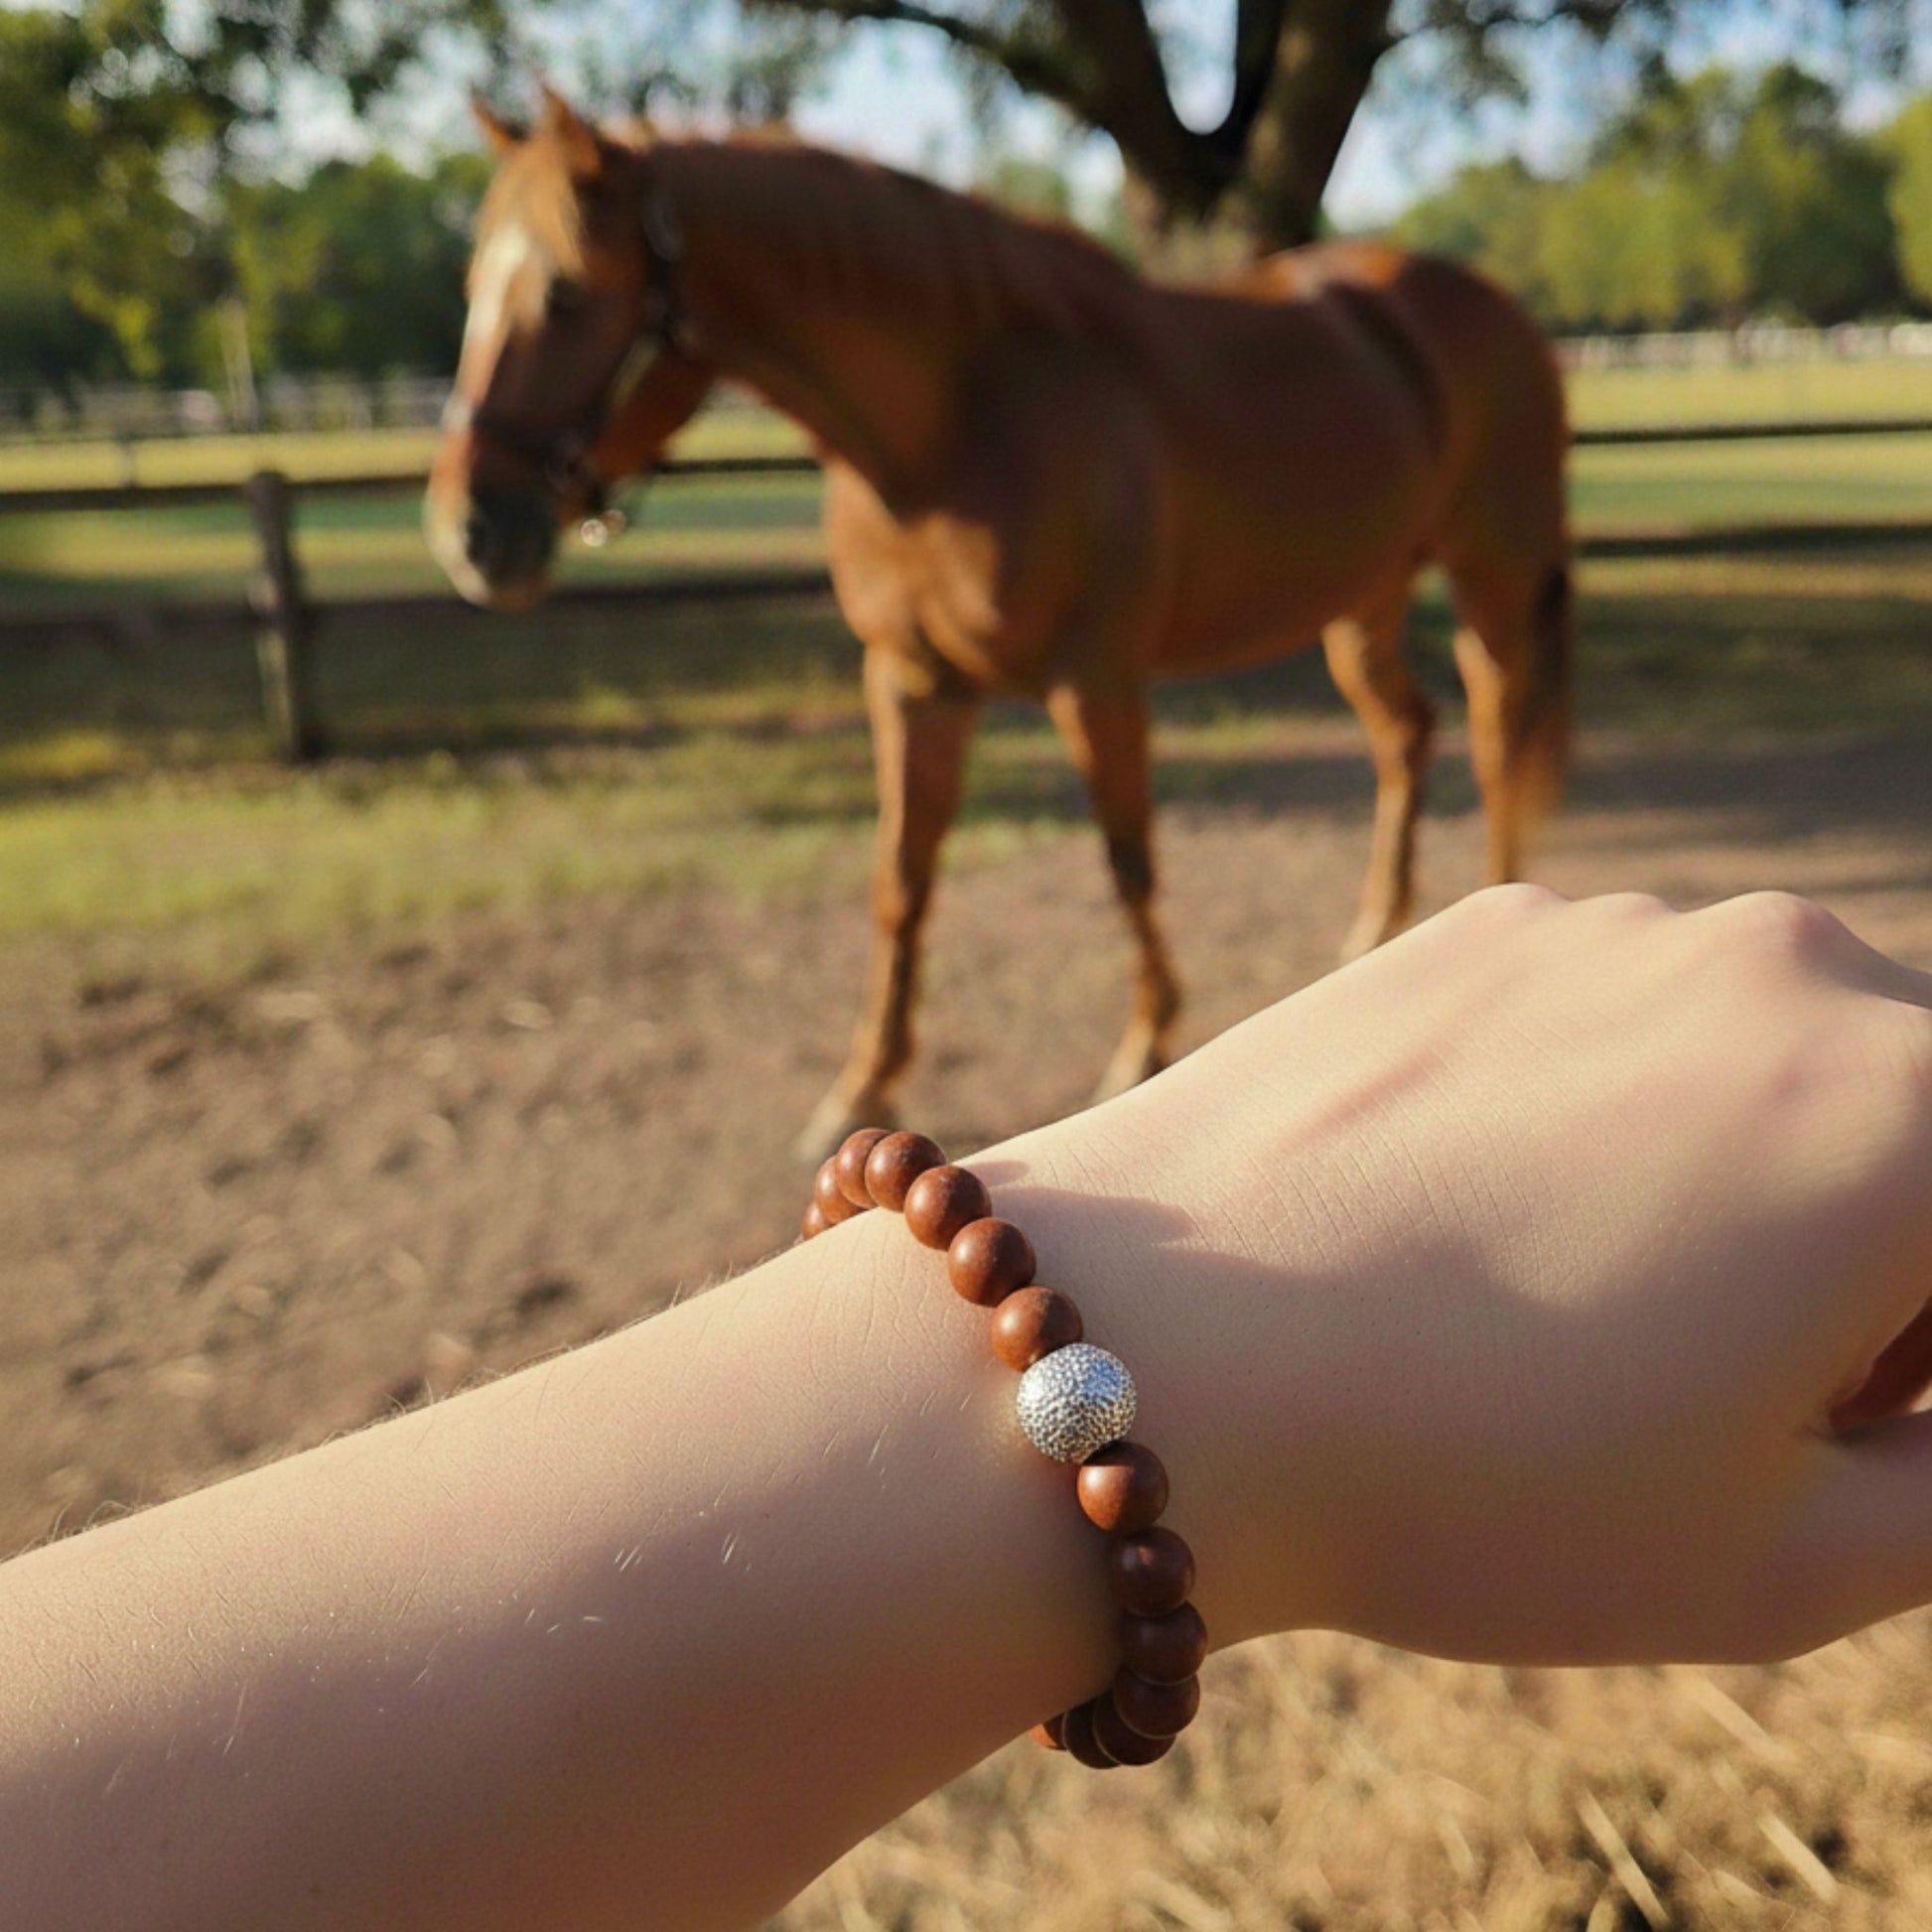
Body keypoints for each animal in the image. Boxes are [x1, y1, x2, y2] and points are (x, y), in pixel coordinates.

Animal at [426, 91, 1573, 1156]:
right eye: (472, 288)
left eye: (565, 291)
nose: (468, 533)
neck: (955, 423)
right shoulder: (912, 680)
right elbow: (901, 879)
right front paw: (861, 1086)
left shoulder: (1095, 682)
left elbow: (1128, 861)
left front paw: (1143, 1046)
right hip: (1360, 604)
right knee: (1406, 734)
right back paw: (1378, 931)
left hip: (1489, 580)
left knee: (1495, 732)